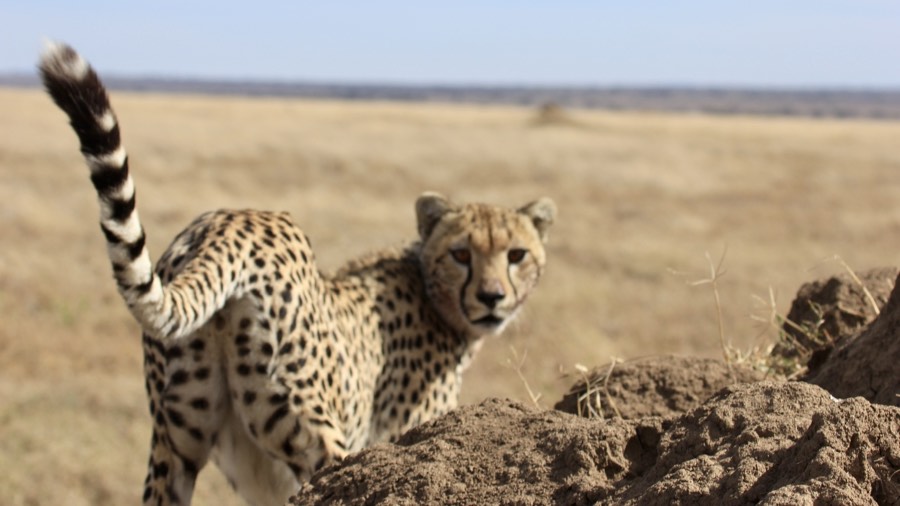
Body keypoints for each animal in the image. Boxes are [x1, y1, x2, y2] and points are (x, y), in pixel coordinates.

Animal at [40, 42, 556, 506]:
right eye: (461, 254)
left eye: (516, 255)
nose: (492, 297)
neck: (431, 291)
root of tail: (233, 221)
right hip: (314, 431)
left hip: (175, 438)